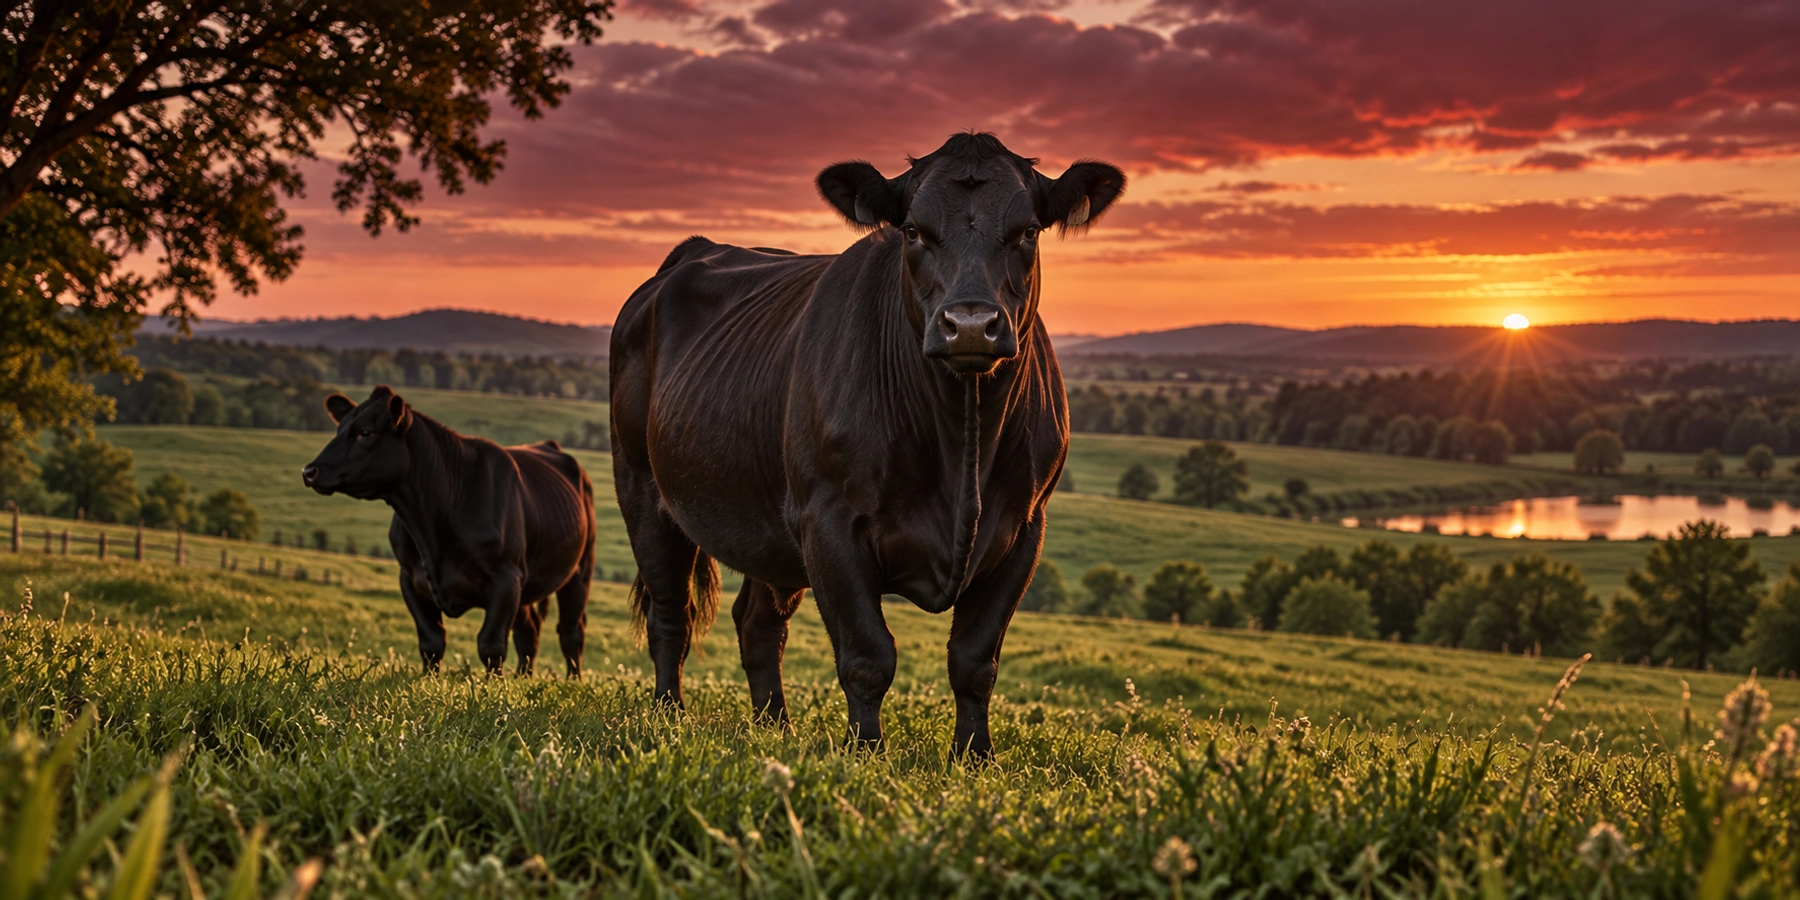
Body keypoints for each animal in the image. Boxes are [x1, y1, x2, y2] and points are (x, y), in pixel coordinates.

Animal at [301, 386, 596, 677]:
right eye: (339, 429)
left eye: (365, 432)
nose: (309, 471)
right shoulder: (410, 577)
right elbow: (431, 641)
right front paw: (427, 680)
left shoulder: (505, 577)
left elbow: (491, 644)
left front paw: (493, 686)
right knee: (529, 630)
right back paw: (523, 677)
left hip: (579, 571)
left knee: (571, 631)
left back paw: (572, 680)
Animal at [611, 132, 1124, 757]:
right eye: (912, 230)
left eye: (1028, 230)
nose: (969, 324)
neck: (961, 445)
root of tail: (694, 251)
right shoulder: (829, 520)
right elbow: (867, 654)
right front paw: (865, 753)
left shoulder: (1024, 526)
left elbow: (975, 659)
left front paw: (975, 757)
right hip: (643, 488)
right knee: (671, 612)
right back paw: (668, 715)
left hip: (769, 525)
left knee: (758, 622)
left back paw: (774, 725)